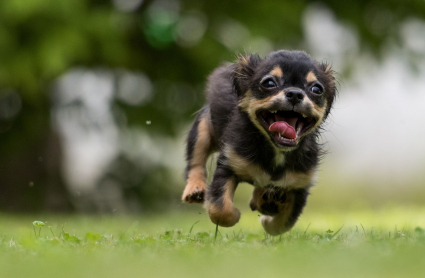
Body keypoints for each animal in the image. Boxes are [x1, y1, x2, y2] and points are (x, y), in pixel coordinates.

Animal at [181, 50, 336, 235]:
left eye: (316, 89)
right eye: (269, 83)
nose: (295, 94)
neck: (276, 150)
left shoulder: (300, 185)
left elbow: (282, 225)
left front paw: (267, 219)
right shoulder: (228, 165)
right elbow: (220, 210)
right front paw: (235, 215)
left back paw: (264, 199)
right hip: (202, 130)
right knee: (196, 161)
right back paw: (194, 189)